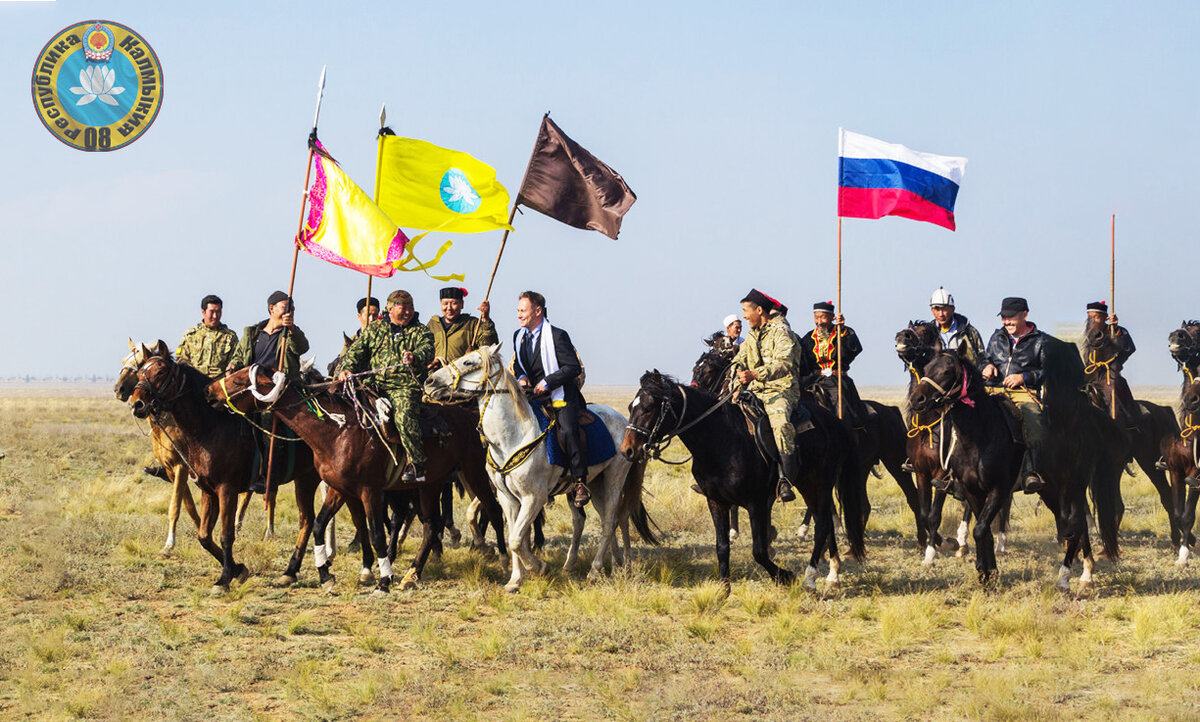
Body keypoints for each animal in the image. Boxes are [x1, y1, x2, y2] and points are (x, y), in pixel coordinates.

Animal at [128, 343, 324, 590]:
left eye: (161, 372)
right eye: (140, 372)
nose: (137, 404)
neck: (209, 427)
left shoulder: (226, 490)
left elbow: (226, 535)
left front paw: (225, 578)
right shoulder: (208, 490)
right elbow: (204, 536)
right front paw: (238, 569)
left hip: (316, 478)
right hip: (309, 479)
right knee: (308, 519)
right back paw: (292, 570)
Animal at [207, 364, 506, 590]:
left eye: (237, 380)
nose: (209, 392)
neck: (338, 431)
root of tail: (471, 415)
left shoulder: (369, 491)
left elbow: (376, 533)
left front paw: (383, 580)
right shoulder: (340, 489)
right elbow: (320, 525)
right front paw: (325, 574)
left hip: (474, 473)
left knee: (492, 510)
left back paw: (503, 562)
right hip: (431, 484)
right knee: (432, 526)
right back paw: (412, 574)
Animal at [424, 345, 657, 590]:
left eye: (468, 362)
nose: (430, 381)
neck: (513, 436)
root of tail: (627, 424)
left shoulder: (534, 497)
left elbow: (516, 540)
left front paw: (538, 567)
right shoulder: (507, 498)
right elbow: (514, 536)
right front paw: (516, 579)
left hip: (614, 479)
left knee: (611, 520)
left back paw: (595, 570)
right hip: (594, 484)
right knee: (603, 521)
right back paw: (614, 563)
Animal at [619, 371, 864, 590]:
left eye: (649, 408)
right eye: (631, 407)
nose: (628, 450)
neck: (722, 441)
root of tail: (835, 422)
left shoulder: (757, 503)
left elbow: (759, 551)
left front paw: (784, 576)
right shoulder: (716, 501)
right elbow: (722, 547)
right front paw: (723, 589)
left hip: (821, 482)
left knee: (822, 524)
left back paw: (810, 578)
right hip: (808, 484)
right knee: (826, 521)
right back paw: (833, 574)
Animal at [912, 338, 1128, 590]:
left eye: (947, 371)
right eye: (926, 369)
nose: (917, 400)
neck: (980, 434)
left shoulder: (999, 489)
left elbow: (980, 529)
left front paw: (987, 573)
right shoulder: (971, 490)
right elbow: (983, 531)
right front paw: (987, 573)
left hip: (1073, 485)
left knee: (1075, 523)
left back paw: (1065, 578)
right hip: (1051, 490)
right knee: (1072, 524)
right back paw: (1086, 572)